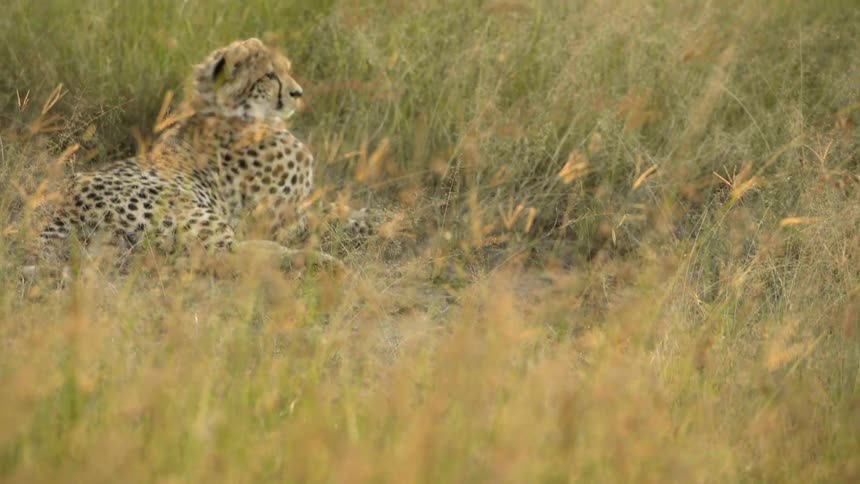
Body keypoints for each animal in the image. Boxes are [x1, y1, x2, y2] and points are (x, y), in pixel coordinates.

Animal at [33, 38, 372, 272]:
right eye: (269, 76)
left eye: (286, 70)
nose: (297, 93)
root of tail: (62, 207)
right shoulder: (278, 216)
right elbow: (327, 214)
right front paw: (374, 223)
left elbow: (335, 206)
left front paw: (369, 216)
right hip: (191, 213)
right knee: (227, 255)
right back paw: (320, 261)